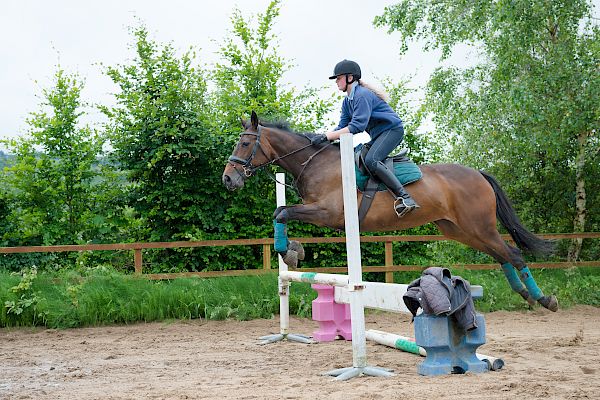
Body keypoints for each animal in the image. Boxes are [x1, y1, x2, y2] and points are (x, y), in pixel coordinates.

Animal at [223, 111, 560, 310]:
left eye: (244, 144)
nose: (228, 179)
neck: (315, 164)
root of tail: (478, 173)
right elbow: (280, 211)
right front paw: (293, 250)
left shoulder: (329, 213)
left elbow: (282, 212)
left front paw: (290, 252)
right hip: (460, 230)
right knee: (502, 256)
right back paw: (527, 295)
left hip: (478, 226)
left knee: (512, 254)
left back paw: (543, 298)